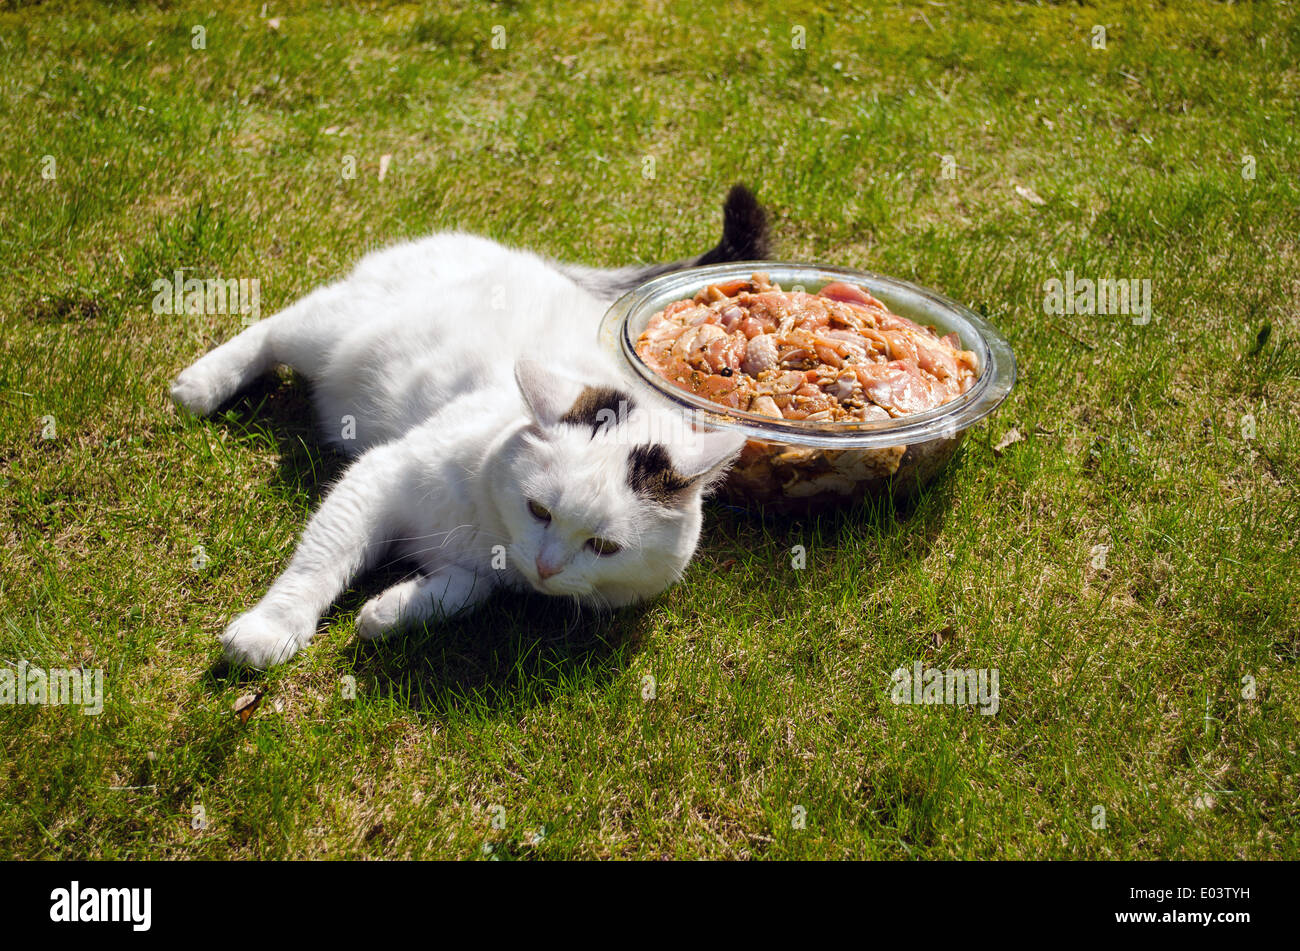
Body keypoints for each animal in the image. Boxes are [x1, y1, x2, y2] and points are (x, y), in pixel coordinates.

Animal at [167, 184, 764, 659]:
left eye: (604, 548)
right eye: (538, 510)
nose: (547, 567)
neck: (488, 536)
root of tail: (531, 257)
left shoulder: (490, 578)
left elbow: (470, 591)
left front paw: (388, 611)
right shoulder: (378, 476)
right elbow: (320, 560)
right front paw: (270, 630)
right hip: (328, 334)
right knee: (271, 327)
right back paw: (199, 386)